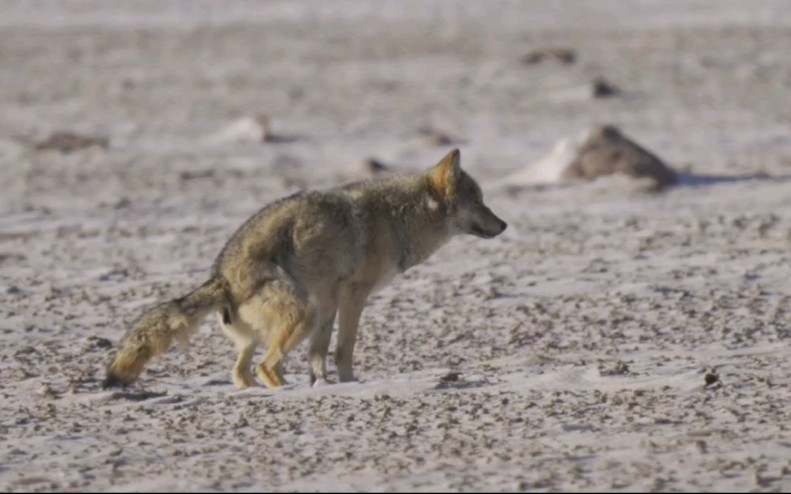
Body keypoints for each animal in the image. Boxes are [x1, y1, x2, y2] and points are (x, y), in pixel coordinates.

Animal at [102, 149, 508, 388]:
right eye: (479, 201)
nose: (504, 224)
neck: (400, 217)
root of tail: (220, 277)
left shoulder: (328, 297)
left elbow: (319, 352)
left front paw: (320, 385)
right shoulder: (353, 294)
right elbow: (343, 348)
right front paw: (346, 385)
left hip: (281, 325)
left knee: (241, 372)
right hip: (301, 313)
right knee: (265, 367)